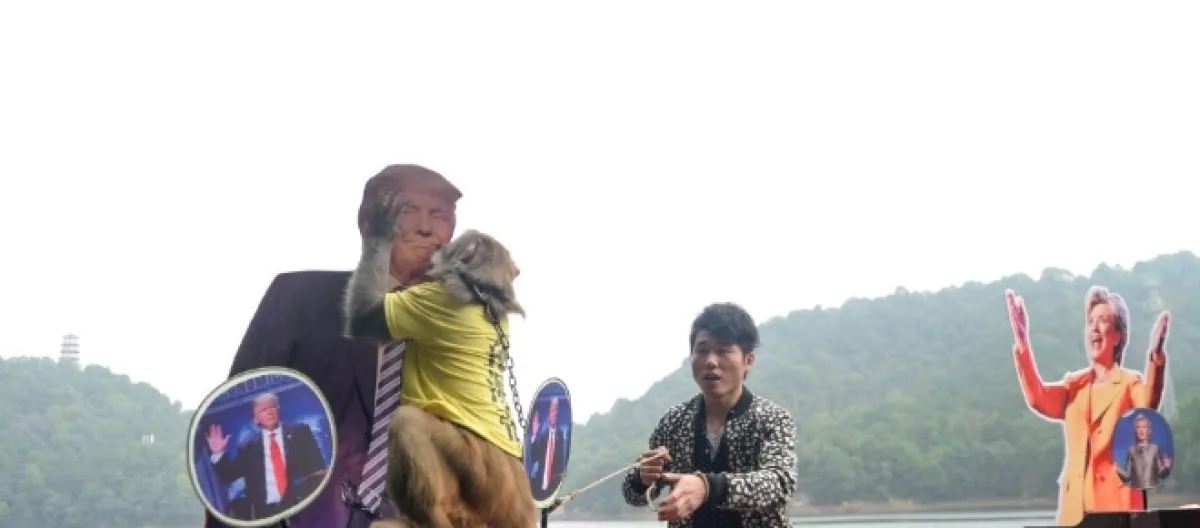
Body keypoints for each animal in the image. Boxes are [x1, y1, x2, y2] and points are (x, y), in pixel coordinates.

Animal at [344, 189, 536, 528]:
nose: (438, 245)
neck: (482, 292)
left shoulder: (428, 303)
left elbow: (365, 317)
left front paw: (381, 229)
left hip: (481, 480)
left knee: (408, 421)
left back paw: (426, 515)